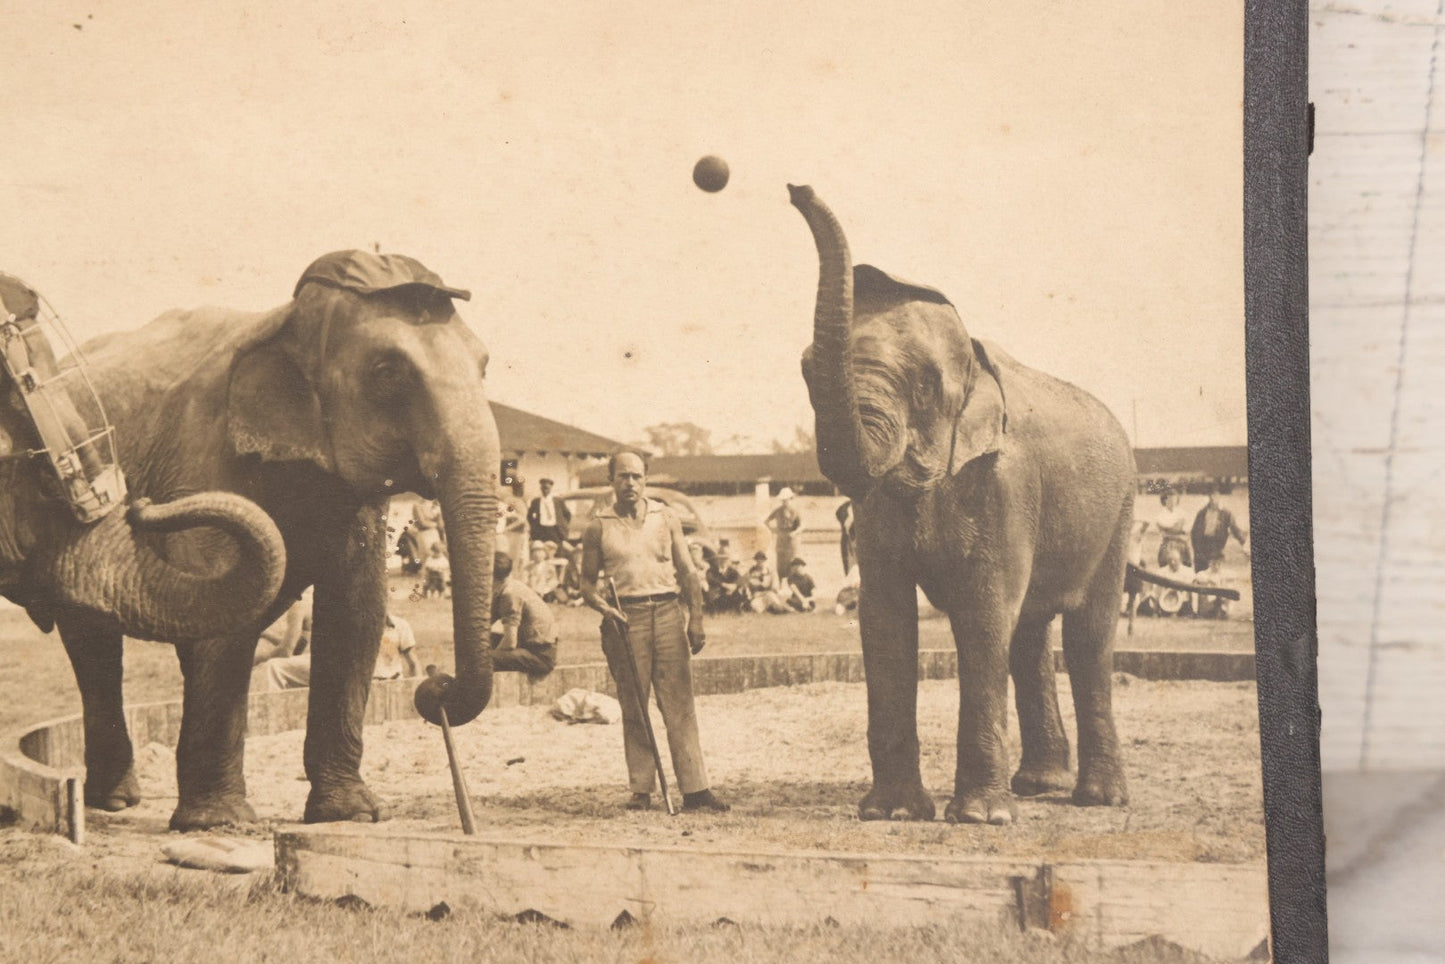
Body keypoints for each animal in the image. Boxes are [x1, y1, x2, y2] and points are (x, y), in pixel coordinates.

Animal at [53, 250, 502, 829]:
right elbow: (226, 613)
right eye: (388, 373)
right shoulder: (204, 458)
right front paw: (217, 823)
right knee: (93, 642)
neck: (286, 320)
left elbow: (356, 614)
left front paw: (350, 815)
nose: (435, 684)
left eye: (485, 365)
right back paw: (114, 802)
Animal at [788, 185, 1135, 825]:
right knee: (1029, 636)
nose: (796, 188)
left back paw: (1096, 799)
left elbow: (982, 612)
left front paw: (977, 818)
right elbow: (884, 617)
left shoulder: (1005, 483)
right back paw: (1038, 786)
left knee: (1088, 638)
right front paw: (892, 814)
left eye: (925, 385)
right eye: (804, 369)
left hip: (1119, 513)